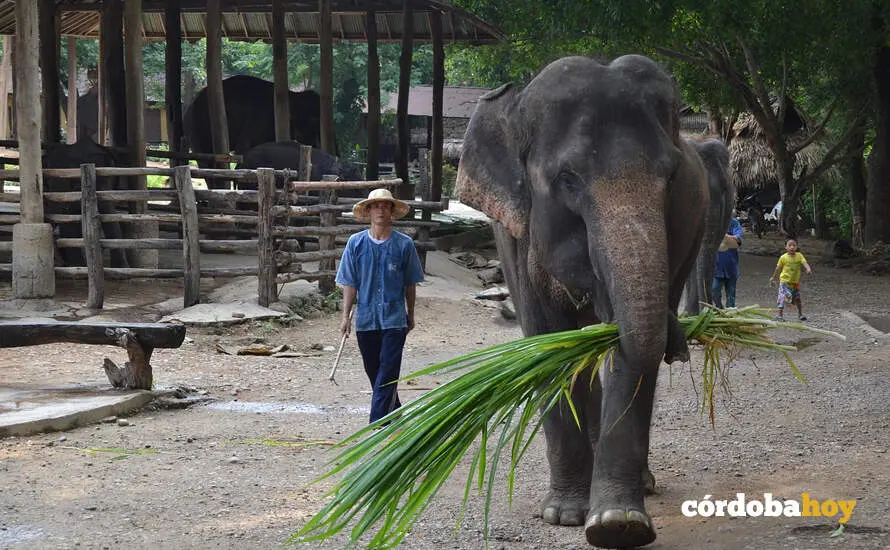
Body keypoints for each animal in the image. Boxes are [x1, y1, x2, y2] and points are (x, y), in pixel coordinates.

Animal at [455, 55, 709, 549]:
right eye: (567, 179)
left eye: (671, 178)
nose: (680, 344)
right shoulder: (518, 234)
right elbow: (547, 341)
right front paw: (567, 514)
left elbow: (629, 349)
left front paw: (617, 523)